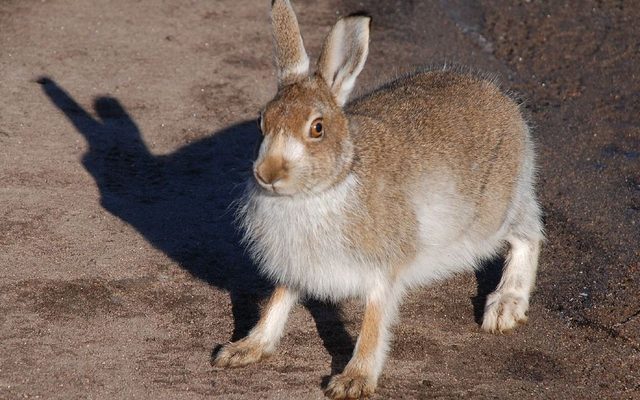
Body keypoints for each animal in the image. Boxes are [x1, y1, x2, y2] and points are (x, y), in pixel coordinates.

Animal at [214, 0, 544, 398]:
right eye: (261, 121)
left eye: (317, 128)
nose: (268, 174)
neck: (323, 188)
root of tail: (505, 102)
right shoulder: (296, 266)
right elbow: (277, 303)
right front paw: (244, 349)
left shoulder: (383, 267)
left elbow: (374, 322)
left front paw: (353, 380)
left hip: (492, 214)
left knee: (529, 234)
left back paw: (505, 306)